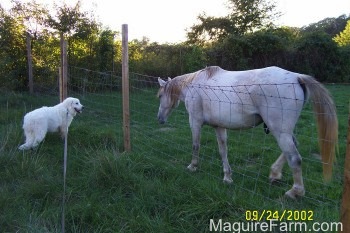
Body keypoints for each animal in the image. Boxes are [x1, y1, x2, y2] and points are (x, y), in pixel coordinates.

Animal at [157, 65, 338, 198]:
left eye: (159, 96)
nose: (159, 119)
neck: (193, 84)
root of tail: (296, 76)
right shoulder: (219, 127)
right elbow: (223, 151)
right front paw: (227, 177)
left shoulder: (194, 122)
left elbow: (196, 146)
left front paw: (192, 166)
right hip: (284, 131)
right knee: (293, 147)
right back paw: (274, 174)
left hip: (280, 131)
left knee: (294, 158)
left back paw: (295, 191)